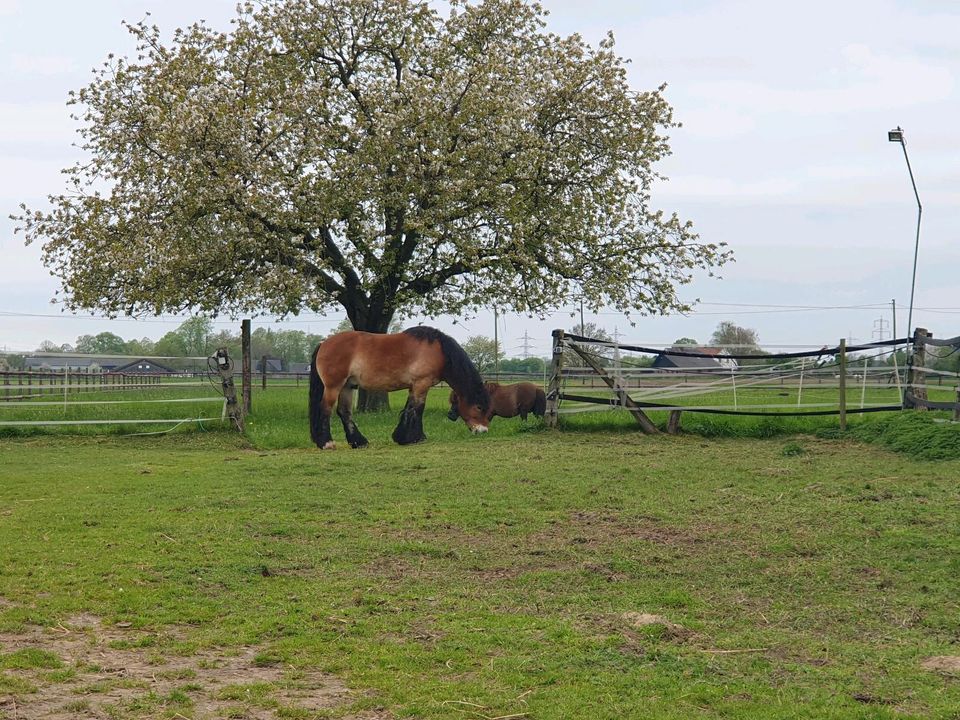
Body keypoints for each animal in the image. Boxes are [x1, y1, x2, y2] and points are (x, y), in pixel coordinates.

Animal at [312, 328, 492, 450]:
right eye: (479, 407)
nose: (483, 431)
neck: (440, 352)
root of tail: (323, 344)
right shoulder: (421, 384)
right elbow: (418, 409)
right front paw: (416, 438)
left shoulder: (414, 386)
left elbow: (408, 409)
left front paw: (402, 437)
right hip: (334, 387)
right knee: (325, 409)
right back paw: (327, 443)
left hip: (348, 386)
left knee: (344, 412)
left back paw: (359, 442)